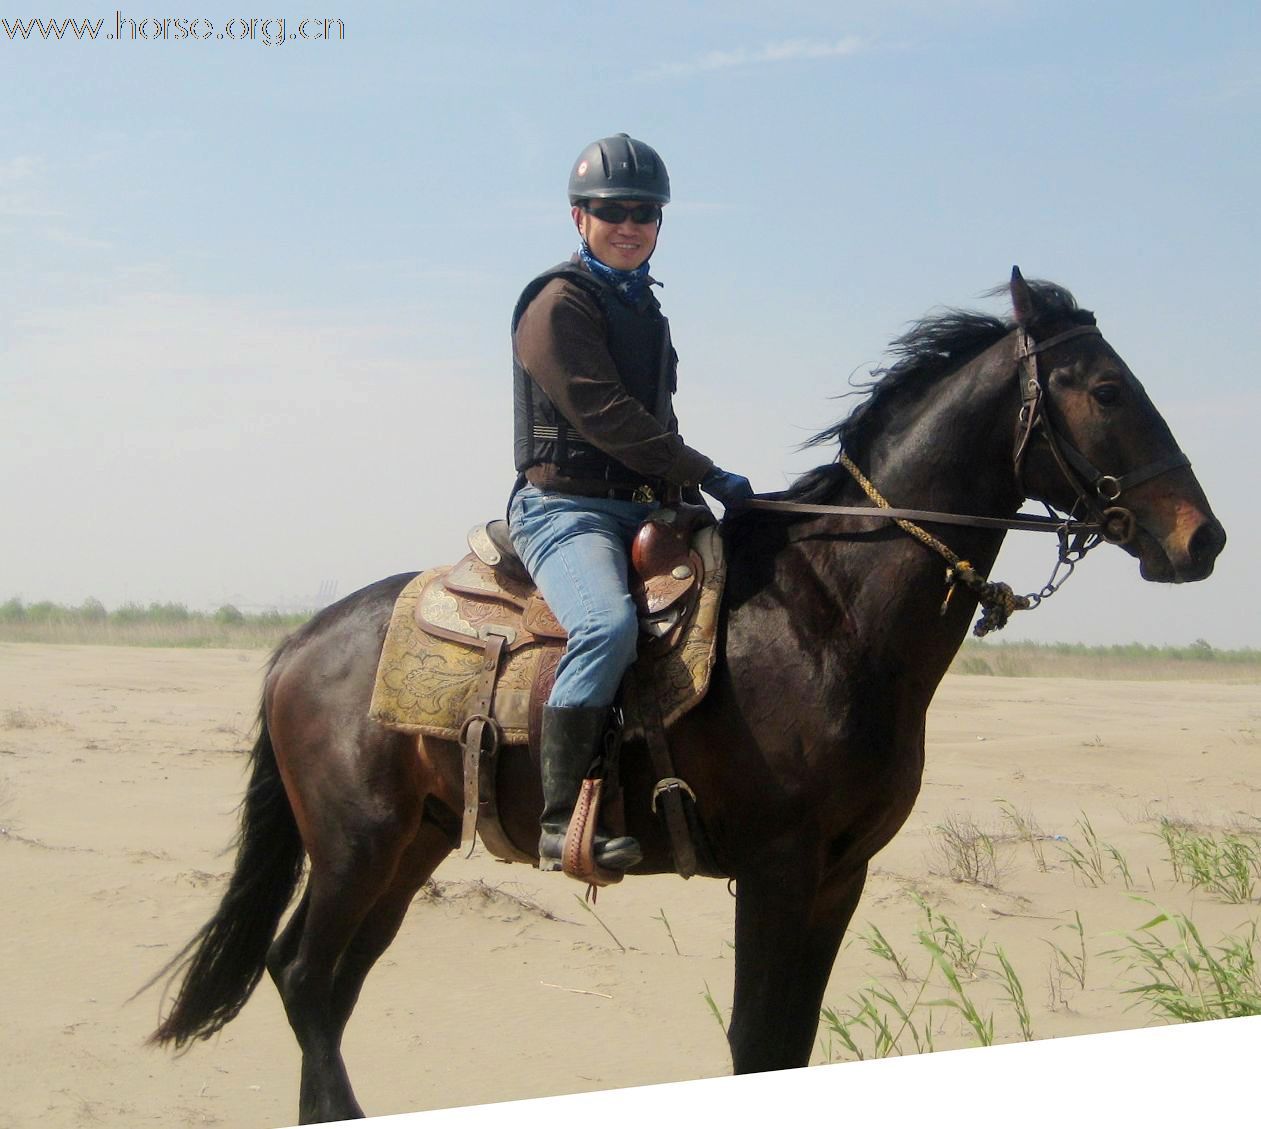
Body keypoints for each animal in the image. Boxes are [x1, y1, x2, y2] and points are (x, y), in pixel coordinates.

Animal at [145, 271, 1220, 1120]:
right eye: (1108, 387)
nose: (1201, 538)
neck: (828, 611)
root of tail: (300, 643)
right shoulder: (780, 868)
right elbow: (758, 1043)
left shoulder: (839, 874)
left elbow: (790, 1043)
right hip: (355, 843)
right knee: (302, 977)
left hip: (411, 843)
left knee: (325, 990)